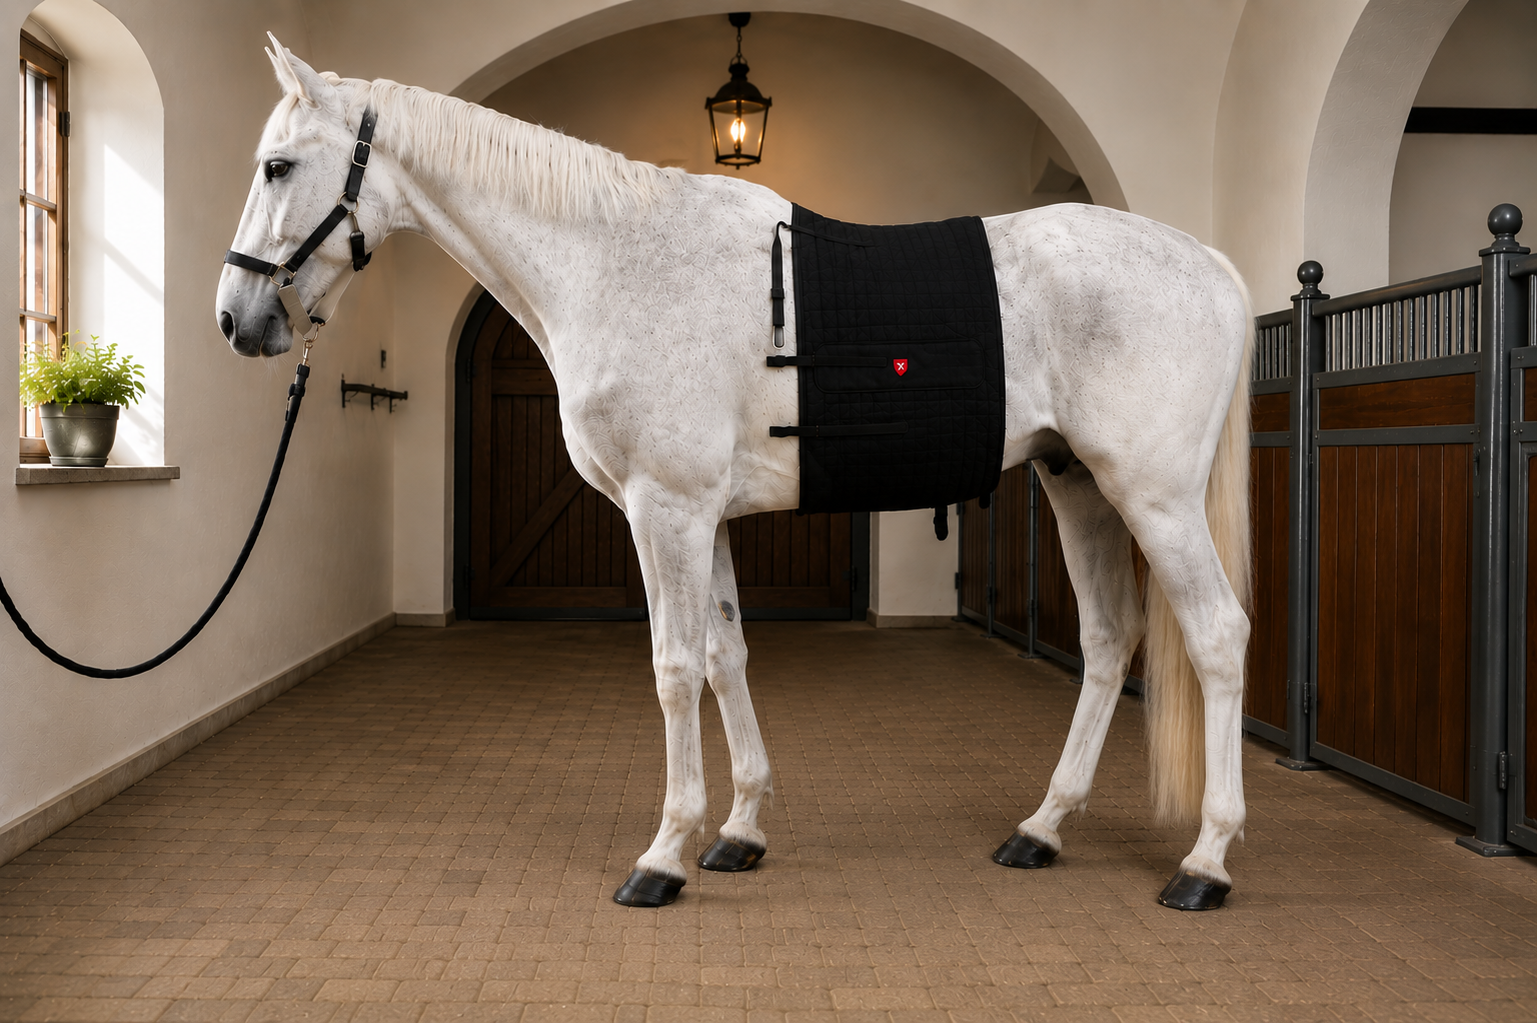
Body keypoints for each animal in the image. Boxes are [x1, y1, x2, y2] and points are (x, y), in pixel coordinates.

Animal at [216, 38, 1254, 912]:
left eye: (277, 167)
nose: (237, 319)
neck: (617, 261)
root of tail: (1210, 263)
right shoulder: (702, 517)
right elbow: (724, 657)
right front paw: (740, 830)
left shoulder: (664, 510)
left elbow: (675, 668)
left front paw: (663, 854)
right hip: (1074, 484)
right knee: (1110, 639)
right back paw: (1040, 829)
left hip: (1153, 498)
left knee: (1215, 634)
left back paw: (1204, 862)